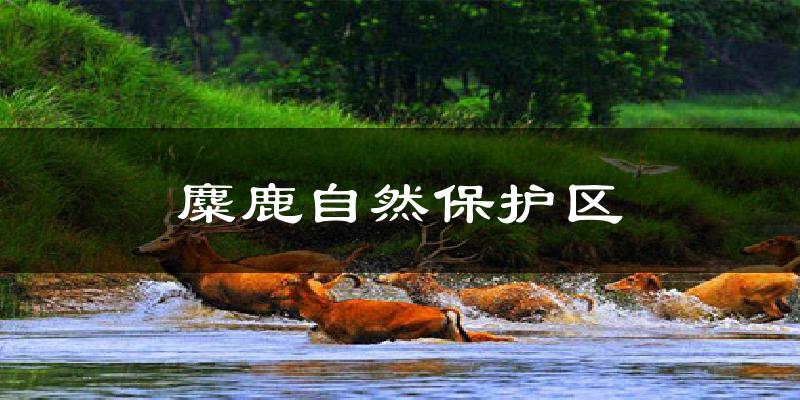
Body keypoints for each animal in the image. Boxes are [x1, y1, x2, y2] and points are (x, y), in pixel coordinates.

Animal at [286, 273, 514, 344]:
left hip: (408, 331)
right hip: (450, 332)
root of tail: (442, 312)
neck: (326, 310)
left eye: (289, 282)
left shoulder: (346, 337)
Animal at [604, 271, 799, 323]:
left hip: (758, 295)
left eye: (631, 278)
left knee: (776, 313)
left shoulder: (690, 315)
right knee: (785, 310)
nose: (607, 286)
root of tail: (793, 277)